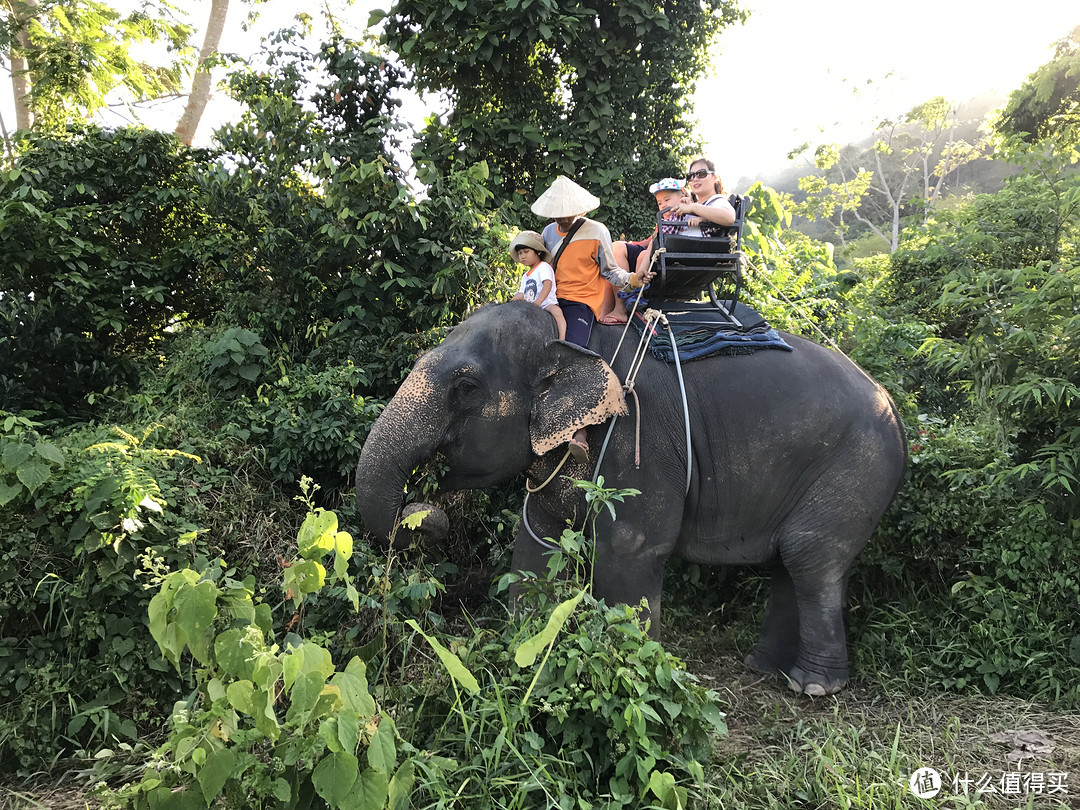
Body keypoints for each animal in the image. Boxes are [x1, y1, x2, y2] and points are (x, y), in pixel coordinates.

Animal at [358, 302, 907, 695]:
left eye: (467, 387)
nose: (426, 512)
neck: (572, 339)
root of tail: (893, 405)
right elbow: (535, 543)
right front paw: (521, 652)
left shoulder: (639, 440)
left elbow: (629, 548)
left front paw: (636, 672)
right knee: (788, 561)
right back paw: (764, 668)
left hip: (855, 468)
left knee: (809, 558)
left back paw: (814, 687)